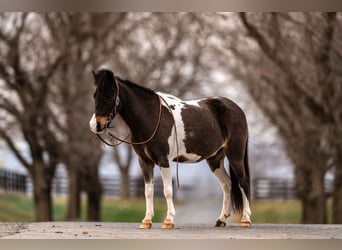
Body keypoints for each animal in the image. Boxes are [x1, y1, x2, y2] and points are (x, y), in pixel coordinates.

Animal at [89, 69, 252, 229]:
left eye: (110, 94)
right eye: (95, 94)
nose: (95, 125)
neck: (152, 116)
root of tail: (237, 109)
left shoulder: (164, 160)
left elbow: (167, 191)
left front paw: (168, 220)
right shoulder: (145, 162)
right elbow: (148, 191)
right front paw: (146, 221)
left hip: (235, 156)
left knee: (243, 182)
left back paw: (245, 219)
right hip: (215, 159)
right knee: (227, 184)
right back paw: (221, 220)